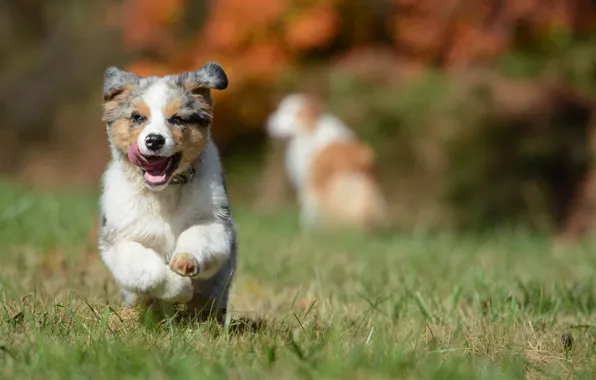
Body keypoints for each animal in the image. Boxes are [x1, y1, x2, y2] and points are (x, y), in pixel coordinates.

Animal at [99, 62, 236, 320]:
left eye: (177, 119)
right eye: (138, 117)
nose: (154, 140)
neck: (163, 192)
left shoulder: (216, 223)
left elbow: (197, 236)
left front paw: (185, 262)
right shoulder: (118, 241)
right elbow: (148, 269)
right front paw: (180, 288)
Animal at [266, 93, 388, 232]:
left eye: (289, 111)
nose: (267, 123)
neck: (311, 131)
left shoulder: (310, 182)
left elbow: (308, 211)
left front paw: (307, 230)